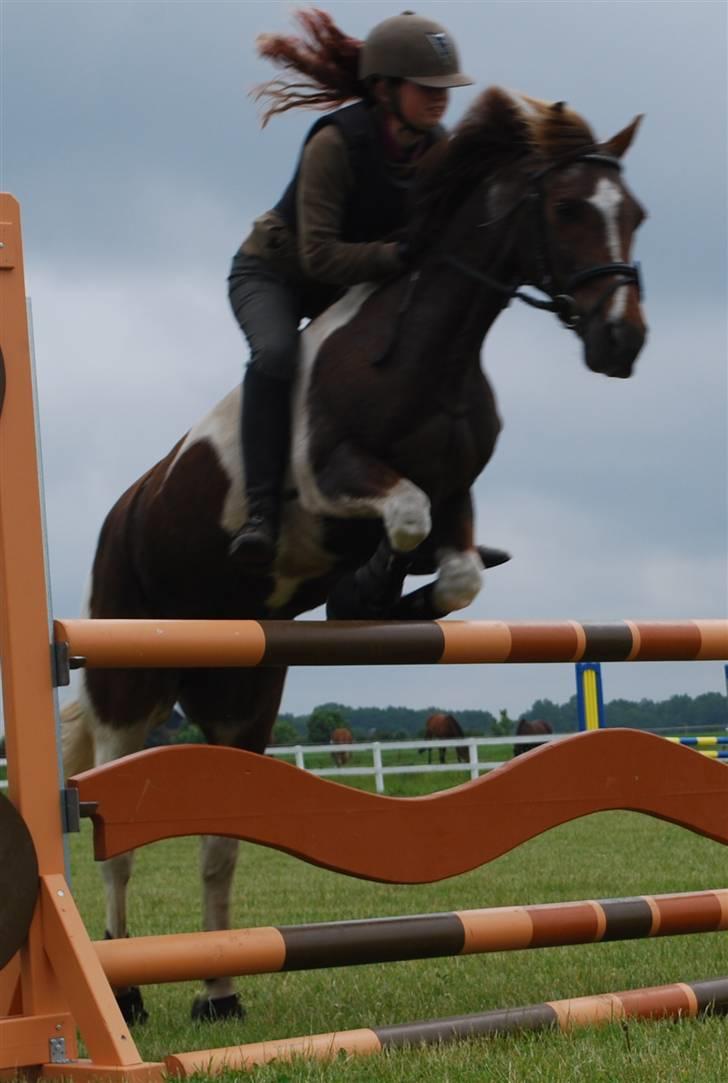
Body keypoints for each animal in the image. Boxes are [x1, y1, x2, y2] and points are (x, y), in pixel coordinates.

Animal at [61, 86, 647, 1026]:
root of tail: (124, 512)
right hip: (129, 682)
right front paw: (367, 584)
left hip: (241, 699)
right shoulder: (337, 484)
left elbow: (456, 569)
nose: (621, 342)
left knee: (219, 844)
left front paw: (387, 595)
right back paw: (128, 990)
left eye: (634, 214)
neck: (428, 349)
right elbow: (400, 517)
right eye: (566, 211)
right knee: (117, 839)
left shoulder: (458, 495)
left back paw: (220, 993)